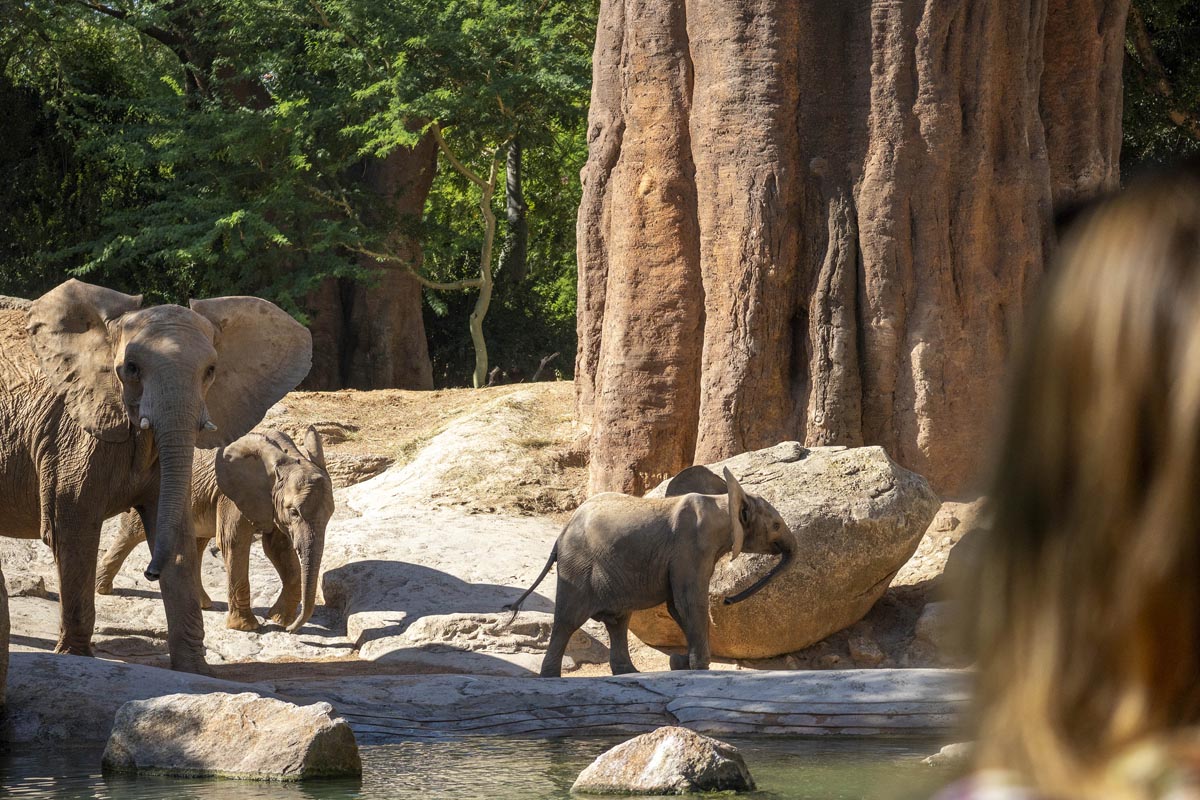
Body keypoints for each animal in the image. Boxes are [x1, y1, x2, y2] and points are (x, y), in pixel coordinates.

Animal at [96, 428, 334, 633]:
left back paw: (202, 604)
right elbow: (233, 543)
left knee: (196, 543)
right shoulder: (231, 495)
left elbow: (278, 548)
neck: (287, 456)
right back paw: (102, 590)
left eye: (331, 513)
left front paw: (278, 619)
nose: (291, 630)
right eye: (294, 512)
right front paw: (248, 627)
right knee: (131, 534)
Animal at [505, 466, 796, 677]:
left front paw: (681, 664)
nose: (728, 600)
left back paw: (629, 673)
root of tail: (561, 535)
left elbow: (677, 606)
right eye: (776, 525)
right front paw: (699, 668)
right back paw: (550, 677)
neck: (723, 501)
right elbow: (689, 602)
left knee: (618, 621)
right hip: (578, 566)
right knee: (569, 620)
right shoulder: (690, 548)